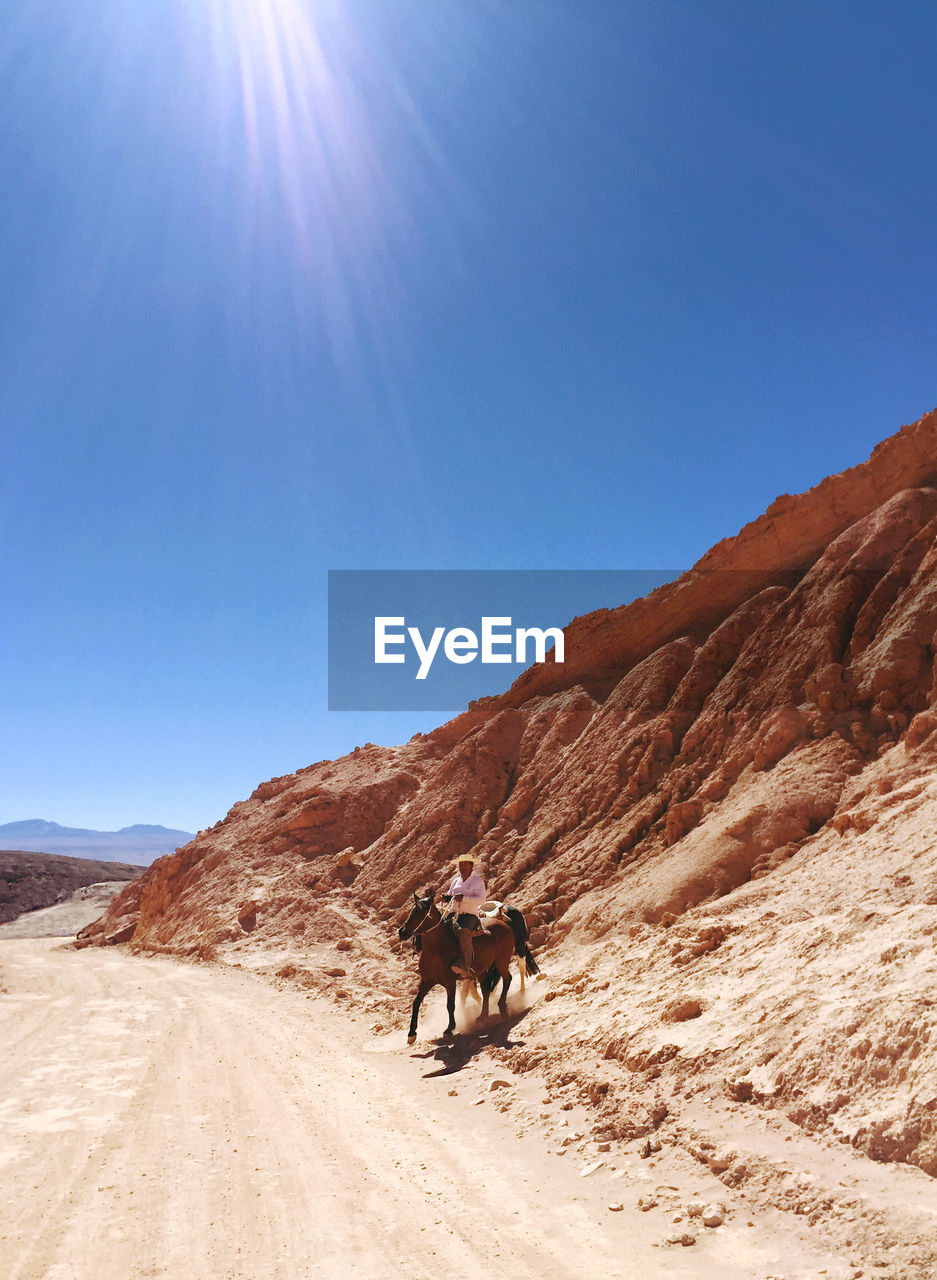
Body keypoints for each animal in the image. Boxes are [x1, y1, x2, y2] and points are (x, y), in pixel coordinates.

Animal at [399, 896, 517, 1044]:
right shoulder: (426, 981)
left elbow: (450, 1005)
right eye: (411, 911)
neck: (436, 950)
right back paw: (483, 1016)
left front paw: (449, 1029)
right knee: (485, 990)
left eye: (419, 913)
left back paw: (501, 1006)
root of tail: (505, 925)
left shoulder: (450, 982)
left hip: (502, 961)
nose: (402, 932)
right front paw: (411, 1033)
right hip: (482, 970)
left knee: (507, 979)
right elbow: (416, 1003)